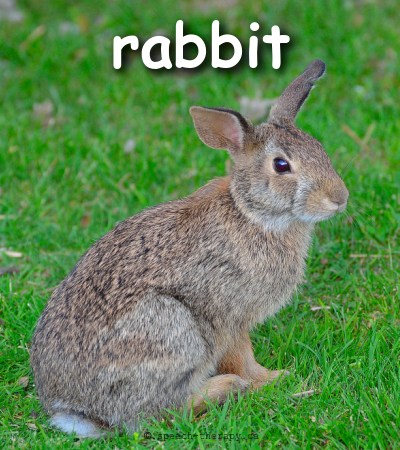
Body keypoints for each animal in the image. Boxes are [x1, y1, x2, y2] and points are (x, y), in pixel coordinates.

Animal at [30, 59, 349, 438]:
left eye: (319, 148)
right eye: (281, 165)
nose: (340, 198)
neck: (252, 213)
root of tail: (72, 409)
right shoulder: (230, 315)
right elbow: (242, 357)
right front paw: (274, 378)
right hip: (173, 329)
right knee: (160, 414)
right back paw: (226, 388)